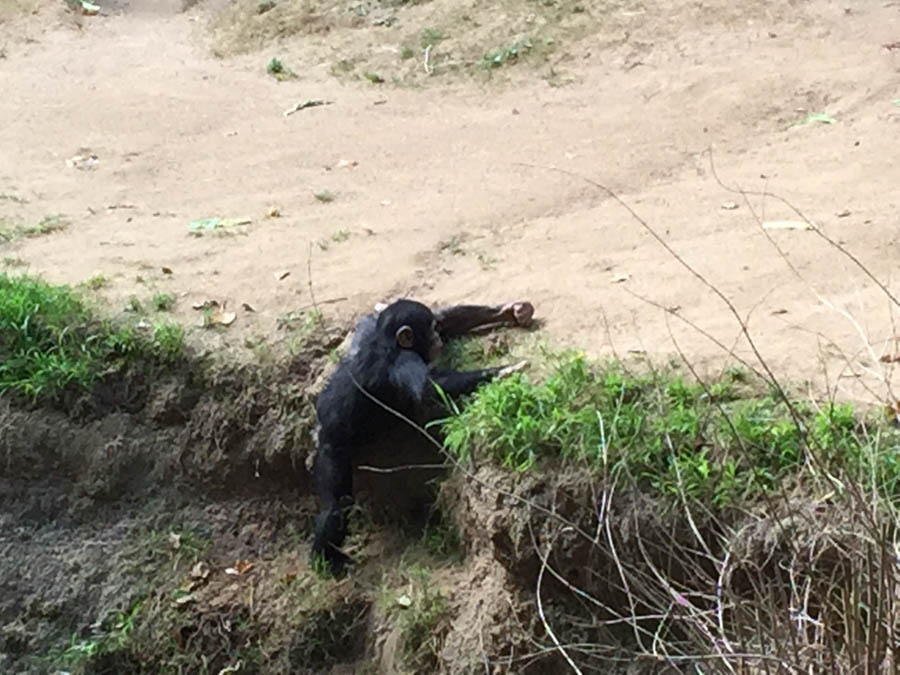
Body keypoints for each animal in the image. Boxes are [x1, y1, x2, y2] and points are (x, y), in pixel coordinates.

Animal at [310, 300, 536, 572]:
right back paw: (327, 560)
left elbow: (443, 317)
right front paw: (504, 370)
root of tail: (319, 431)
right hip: (332, 452)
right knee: (335, 506)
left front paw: (513, 310)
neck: (387, 341)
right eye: (429, 331)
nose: (437, 336)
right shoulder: (403, 361)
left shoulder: (369, 329)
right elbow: (427, 388)